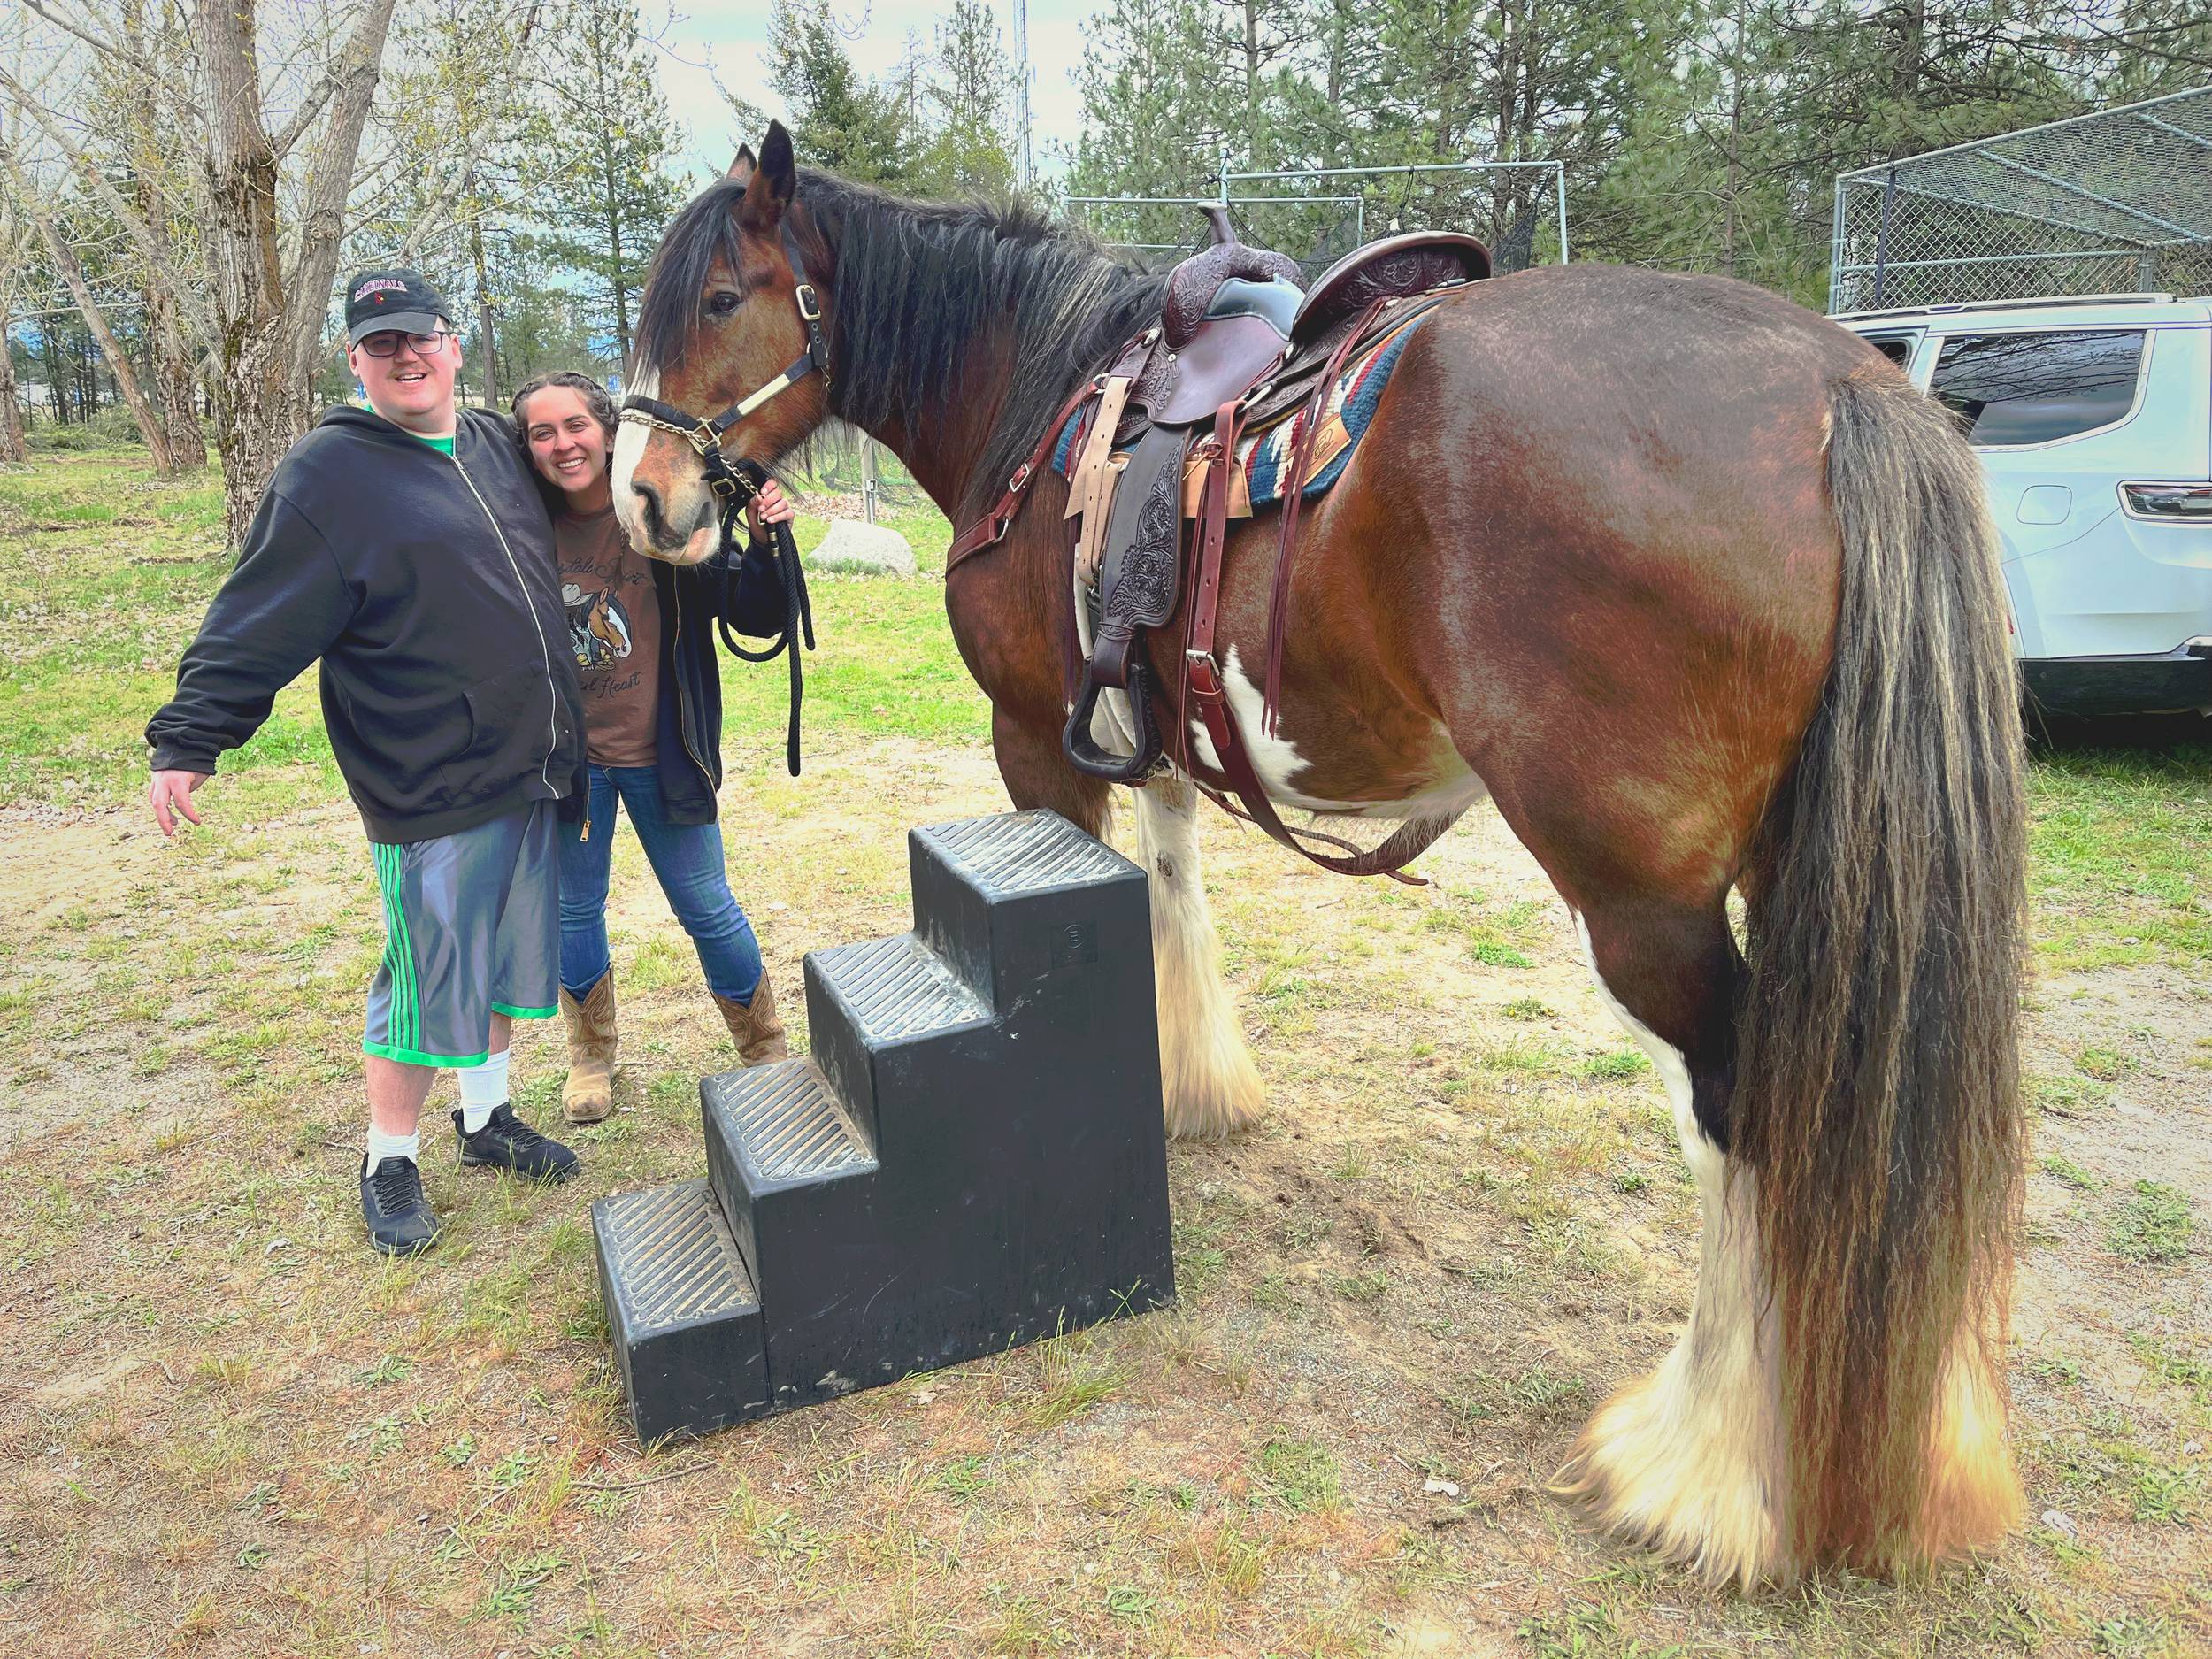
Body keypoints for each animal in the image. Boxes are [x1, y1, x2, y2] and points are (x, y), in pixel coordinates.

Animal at [609, 121, 2029, 1590]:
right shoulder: (1148, 740)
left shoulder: (1035, 748)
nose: (641, 497)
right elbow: (1168, 890)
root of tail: (1838, 387)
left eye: (719, 298)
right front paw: (1192, 1083)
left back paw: (1705, 1468)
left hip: (1649, 907)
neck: (1036, 390)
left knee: (1742, 1120)